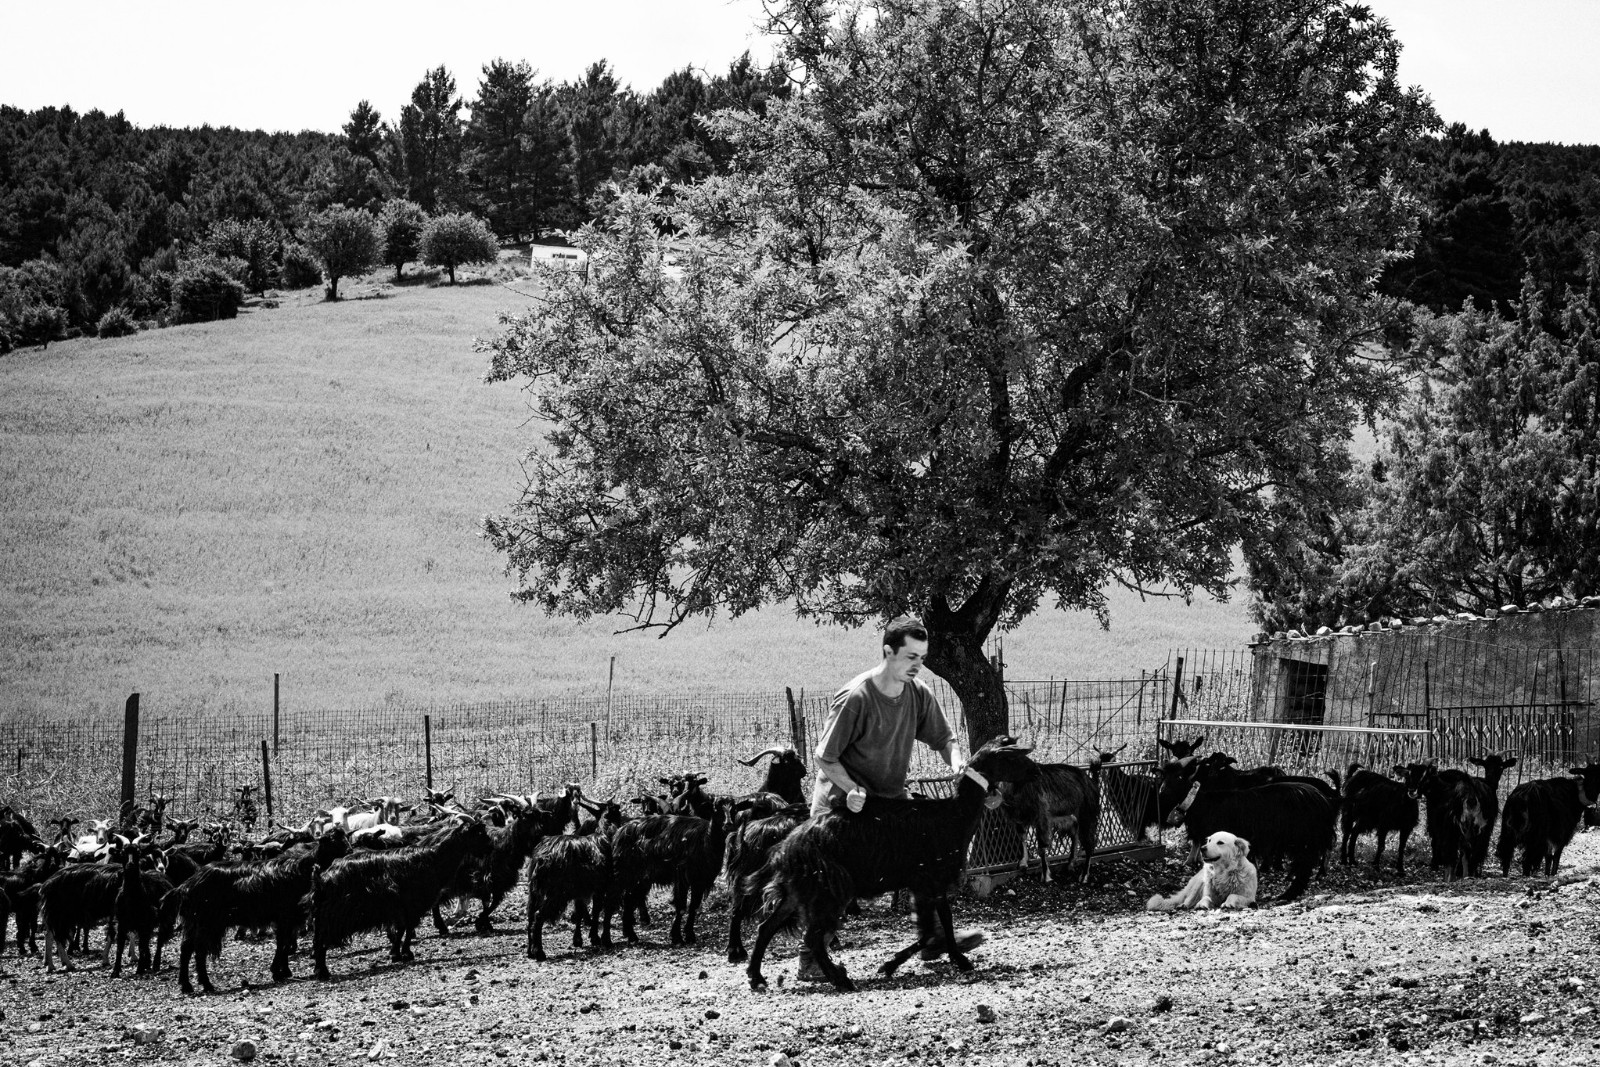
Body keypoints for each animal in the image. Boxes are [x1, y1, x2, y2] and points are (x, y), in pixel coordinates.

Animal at [176, 829, 352, 994]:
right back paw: (199, 984)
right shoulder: (285, 916)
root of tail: (187, 885)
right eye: (331, 839)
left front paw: (283, 971)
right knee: (195, 951)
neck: (302, 869)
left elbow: (285, 942)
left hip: (199, 923)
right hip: (205, 922)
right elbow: (282, 943)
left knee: (190, 949)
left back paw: (193, 985)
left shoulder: (289, 919)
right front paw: (277, 972)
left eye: (345, 837)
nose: (350, 850)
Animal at [306, 817, 492, 980]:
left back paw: (318, 970)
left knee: (317, 940)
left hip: (323, 915)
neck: (434, 859)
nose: (490, 848)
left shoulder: (402, 906)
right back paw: (323, 972)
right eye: (479, 834)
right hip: (334, 915)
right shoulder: (413, 903)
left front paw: (396, 953)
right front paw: (406, 953)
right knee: (321, 941)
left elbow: (402, 929)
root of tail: (322, 878)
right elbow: (408, 928)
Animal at [744, 737, 1038, 992]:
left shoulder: (931, 882)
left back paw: (756, 977)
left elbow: (941, 923)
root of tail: (788, 845)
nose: (1035, 771)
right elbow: (932, 928)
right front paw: (891, 965)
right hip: (828, 889)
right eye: (1012, 757)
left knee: (767, 927)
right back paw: (840, 980)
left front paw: (954, 958)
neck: (954, 816)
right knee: (812, 938)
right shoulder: (928, 879)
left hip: (801, 890)